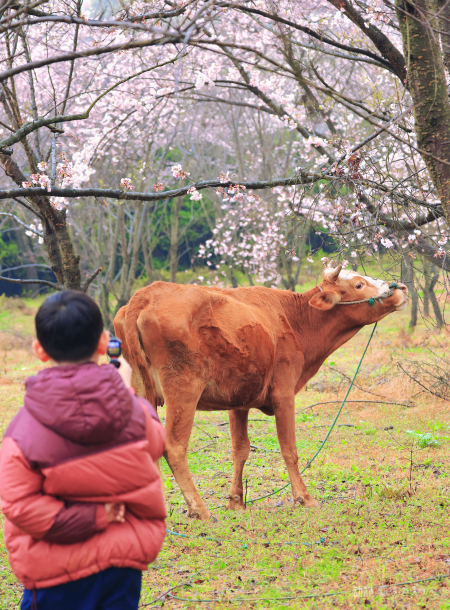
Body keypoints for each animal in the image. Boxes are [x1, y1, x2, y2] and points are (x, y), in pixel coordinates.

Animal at [114, 264, 408, 520]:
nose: (401, 287)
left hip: (142, 392)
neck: (294, 319)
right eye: (359, 284)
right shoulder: (283, 393)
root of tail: (146, 294)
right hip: (183, 390)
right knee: (174, 447)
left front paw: (236, 502)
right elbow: (289, 448)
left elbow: (240, 449)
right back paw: (200, 510)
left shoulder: (238, 400)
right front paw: (304, 498)